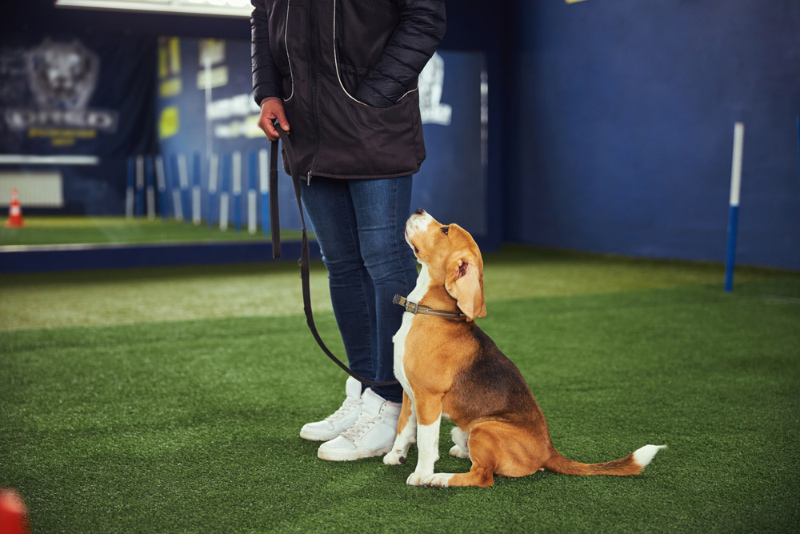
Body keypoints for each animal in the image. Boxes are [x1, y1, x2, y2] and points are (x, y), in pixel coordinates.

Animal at [384, 211, 664, 488]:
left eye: (445, 230)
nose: (418, 211)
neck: (429, 310)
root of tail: (549, 451)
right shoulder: (410, 395)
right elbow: (403, 428)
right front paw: (396, 455)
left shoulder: (428, 398)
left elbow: (425, 443)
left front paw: (421, 474)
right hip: (464, 428)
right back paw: (460, 453)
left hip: (484, 428)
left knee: (483, 476)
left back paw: (439, 478)